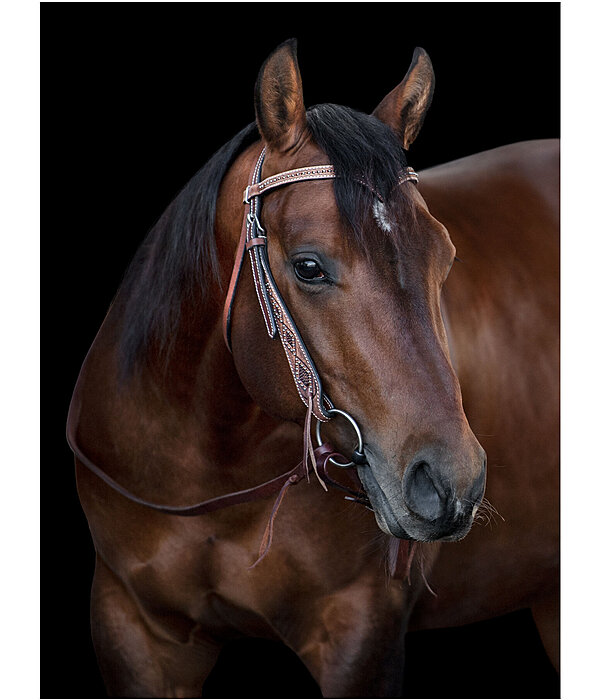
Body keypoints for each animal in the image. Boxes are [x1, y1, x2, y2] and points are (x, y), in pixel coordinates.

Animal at [68, 41, 560, 696]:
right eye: (308, 266)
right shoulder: (132, 628)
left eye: (445, 256)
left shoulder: (359, 636)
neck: (210, 470)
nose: (450, 484)